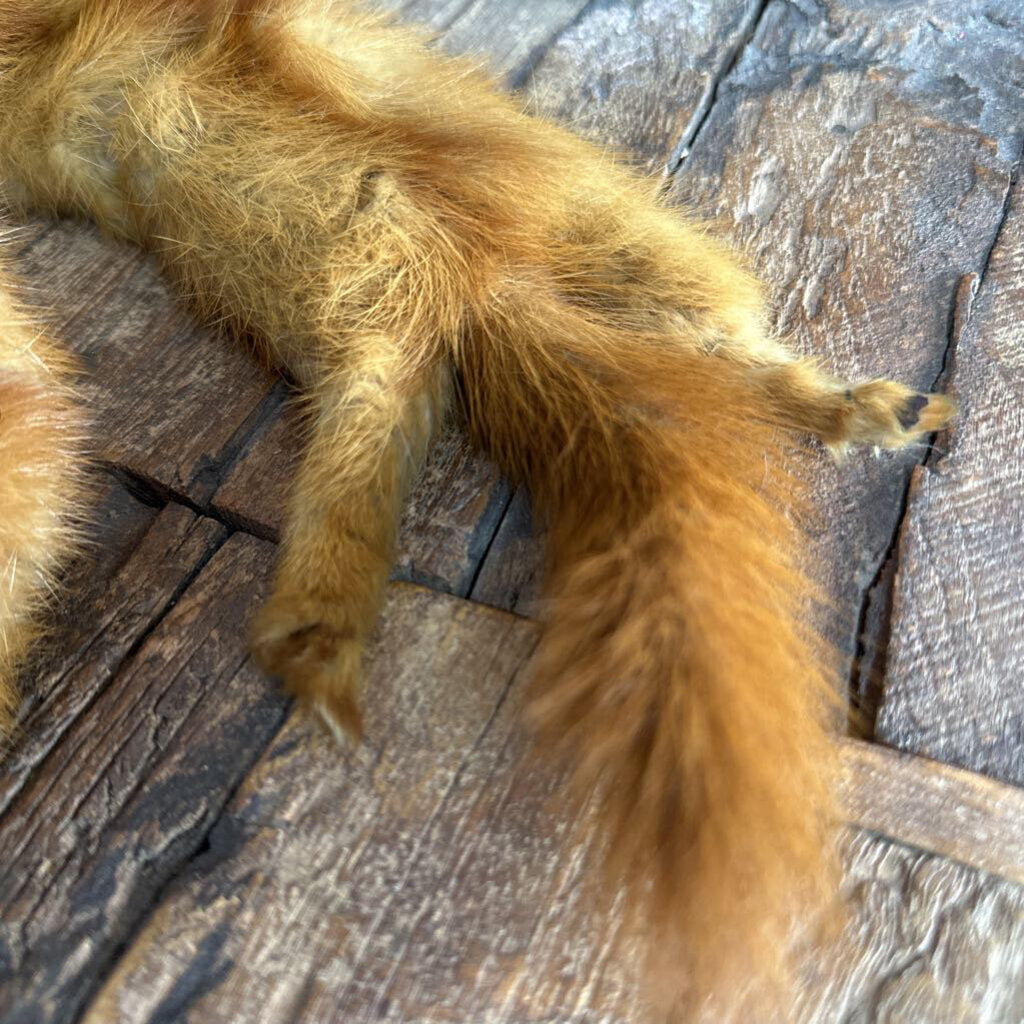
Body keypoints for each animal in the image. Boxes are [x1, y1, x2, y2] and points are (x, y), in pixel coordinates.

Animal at [0, 1, 955, 1019]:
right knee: (693, 334)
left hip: (418, 285)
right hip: (585, 247)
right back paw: (859, 407)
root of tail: (473, 277)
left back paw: (317, 649)